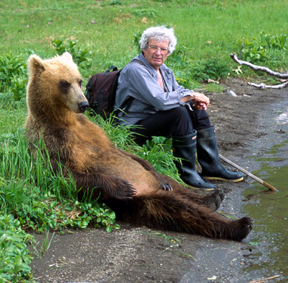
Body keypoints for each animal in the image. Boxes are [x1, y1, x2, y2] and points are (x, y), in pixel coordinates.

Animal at [24, 53, 252, 242]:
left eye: (79, 80)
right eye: (64, 83)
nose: (84, 104)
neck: (65, 120)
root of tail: (152, 190)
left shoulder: (93, 131)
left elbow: (121, 151)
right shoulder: (52, 142)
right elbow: (64, 175)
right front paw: (121, 186)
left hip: (153, 184)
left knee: (174, 184)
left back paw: (211, 197)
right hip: (143, 201)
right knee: (181, 211)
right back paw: (239, 224)